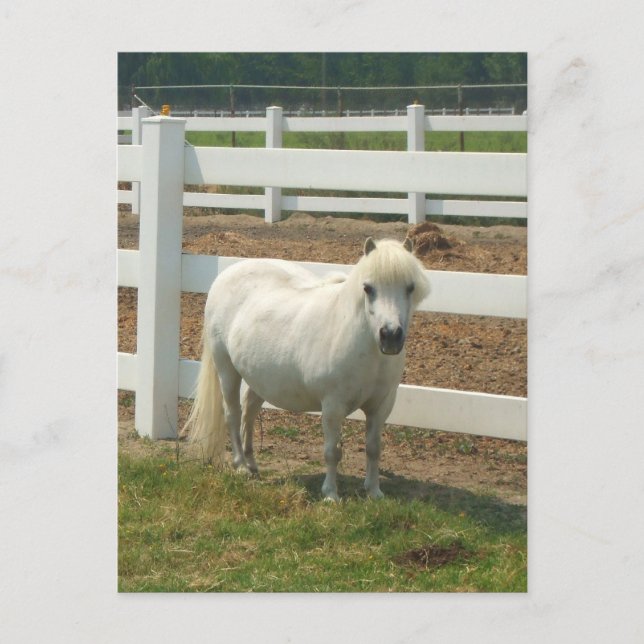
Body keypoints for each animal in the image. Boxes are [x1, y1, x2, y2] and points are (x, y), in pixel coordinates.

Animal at [183, 236, 430, 501]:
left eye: (410, 287)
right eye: (368, 288)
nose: (391, 336)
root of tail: (225, 275)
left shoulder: (381, 406)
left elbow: (374, 448)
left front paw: (374, 492)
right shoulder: (332, 406)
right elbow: (332, 451)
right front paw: (331, 495)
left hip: (259, 378)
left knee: (249, 413)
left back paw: (252, 464)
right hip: (226, 369)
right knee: (233, 414)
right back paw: (240, 466)